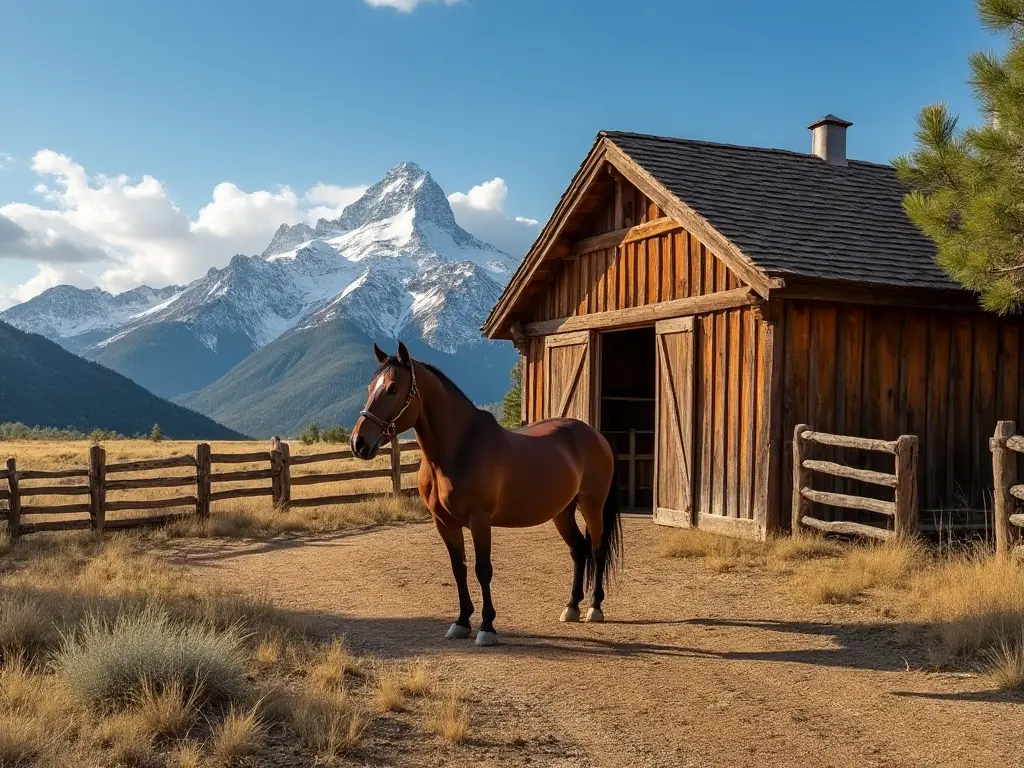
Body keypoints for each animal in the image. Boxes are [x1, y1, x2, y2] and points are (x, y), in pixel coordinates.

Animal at [352, 342, 622, 651]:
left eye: (393, 388)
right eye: (370, 386)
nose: (359, 443)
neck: (458, 449)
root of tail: (595, 436)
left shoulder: (480, 521)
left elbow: (483, 570)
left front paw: (487, 627)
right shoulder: (444, 523)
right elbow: (459, 569)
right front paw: (461, 622)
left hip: (592, 505)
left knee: (597, 549)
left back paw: (595, 608)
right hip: (562, 511)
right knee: (578, 549)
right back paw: (571, 607)